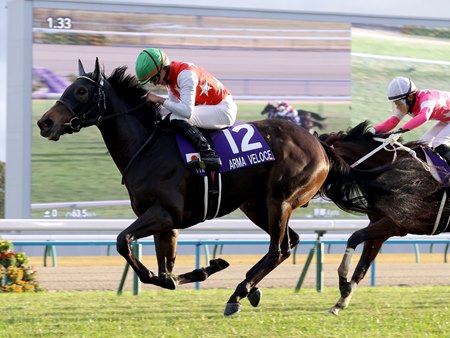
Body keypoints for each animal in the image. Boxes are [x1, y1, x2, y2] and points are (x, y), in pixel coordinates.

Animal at [37, 58, 376, 316]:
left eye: (81, 90)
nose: (45, 122)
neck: (147, 147)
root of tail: (319, 144)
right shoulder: (165, 222)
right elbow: (165, 271)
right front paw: (203, 269)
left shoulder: (166, 214)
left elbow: (124, 242)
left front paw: (201, 269)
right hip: (257, 205)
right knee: (288, 242)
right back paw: (250, 289)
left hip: (279, 200)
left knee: (277, 249)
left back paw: (237, 295)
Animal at [318, 121, 448, 314]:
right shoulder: (379, 227)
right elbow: (362, 266)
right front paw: (341, 301)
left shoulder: (395, 223)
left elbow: (354, 237)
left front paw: (343, 283)